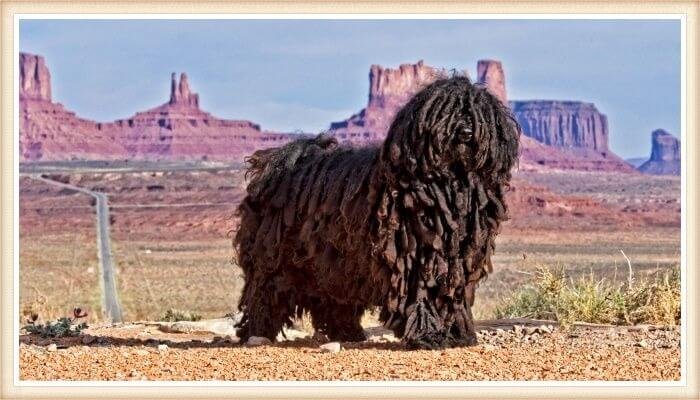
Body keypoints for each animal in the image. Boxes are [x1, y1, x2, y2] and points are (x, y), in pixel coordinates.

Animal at [235, 76, 520, 348]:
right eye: (443, 112)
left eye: (478, 114)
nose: (465, 132)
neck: (450, 184)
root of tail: (279, 163)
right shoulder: (416, 257)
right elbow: (422, 294)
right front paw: (428, 335)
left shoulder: (456, 259)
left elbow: (453, 297)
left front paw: (458, 333)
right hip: (276, 254)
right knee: (266, 290)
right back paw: (258, 330)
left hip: (336, 259)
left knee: (335, 295)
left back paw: (348, 331)